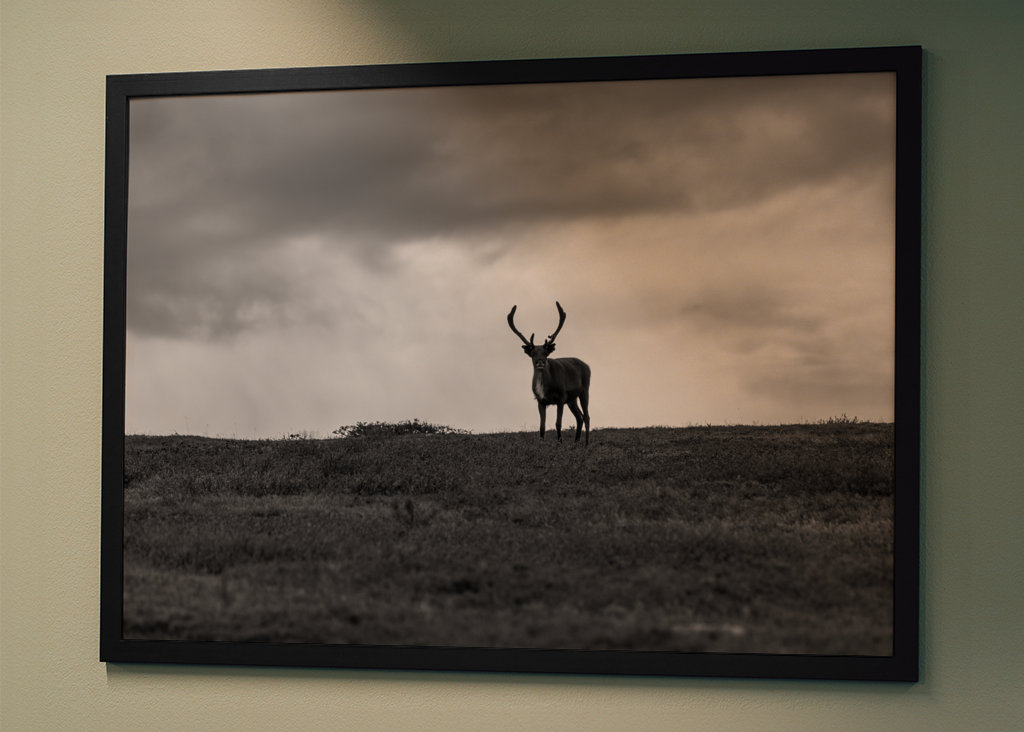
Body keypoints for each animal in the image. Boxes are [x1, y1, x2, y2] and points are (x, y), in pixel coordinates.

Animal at [507, 301, 591, 445]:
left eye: (546, 353)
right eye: (533, 353)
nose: (540, 362)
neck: (546, 387)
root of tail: (587, 365)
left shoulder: (561, 397)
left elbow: (558, 423)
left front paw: (560, 442)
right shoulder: (540, 400)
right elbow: (542, 426)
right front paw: (541, 443)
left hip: (584, 390)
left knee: (586, 416)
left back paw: (586, 444)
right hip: (572, 399)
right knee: (579, 417)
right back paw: (576, 442)